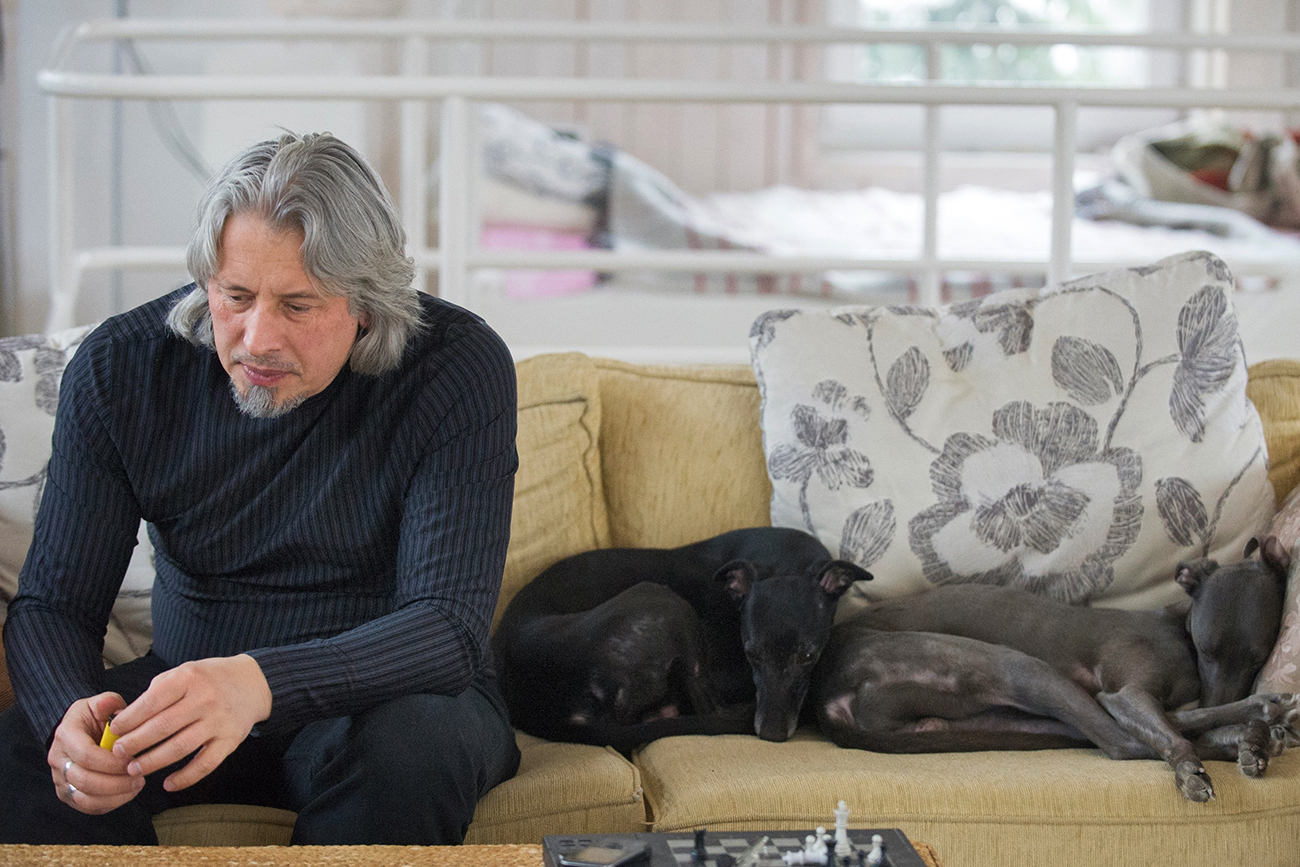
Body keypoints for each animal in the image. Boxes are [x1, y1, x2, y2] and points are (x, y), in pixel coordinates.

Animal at [491, 525, 868, 753]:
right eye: (752, 654)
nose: (771, 734)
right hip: (666, 602)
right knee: (709, 709)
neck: (783, 559)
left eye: (808, 657)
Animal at [811, 538, 1289, 805]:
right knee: (1125, 741)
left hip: (1012, 717)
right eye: (1207, 652)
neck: (1179, 631)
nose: (1222, 695)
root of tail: (825, 696)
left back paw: (1254, 738)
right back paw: (1259, 718)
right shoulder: (1126, 692)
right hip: (1017, 668)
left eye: (1259, 657)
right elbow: (1161, 725)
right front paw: (1194, 767)